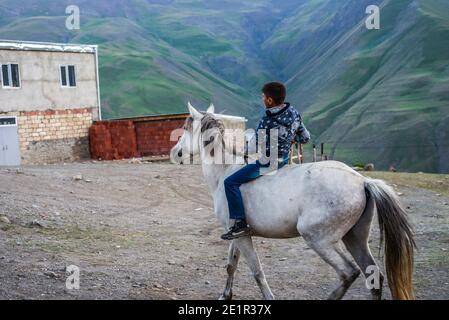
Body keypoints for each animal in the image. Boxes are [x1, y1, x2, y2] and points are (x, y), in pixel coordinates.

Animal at [170, 102, 414, 300]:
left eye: (185, 128)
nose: (176, 152)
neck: (225, 171)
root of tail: (362, 180)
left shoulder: (243, 237)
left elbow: (257, 271)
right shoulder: (237, 234)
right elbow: (231, 265)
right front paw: (225, 296)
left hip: (319, 239)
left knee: (348, 272)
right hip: (355, 238)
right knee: (374, 275)